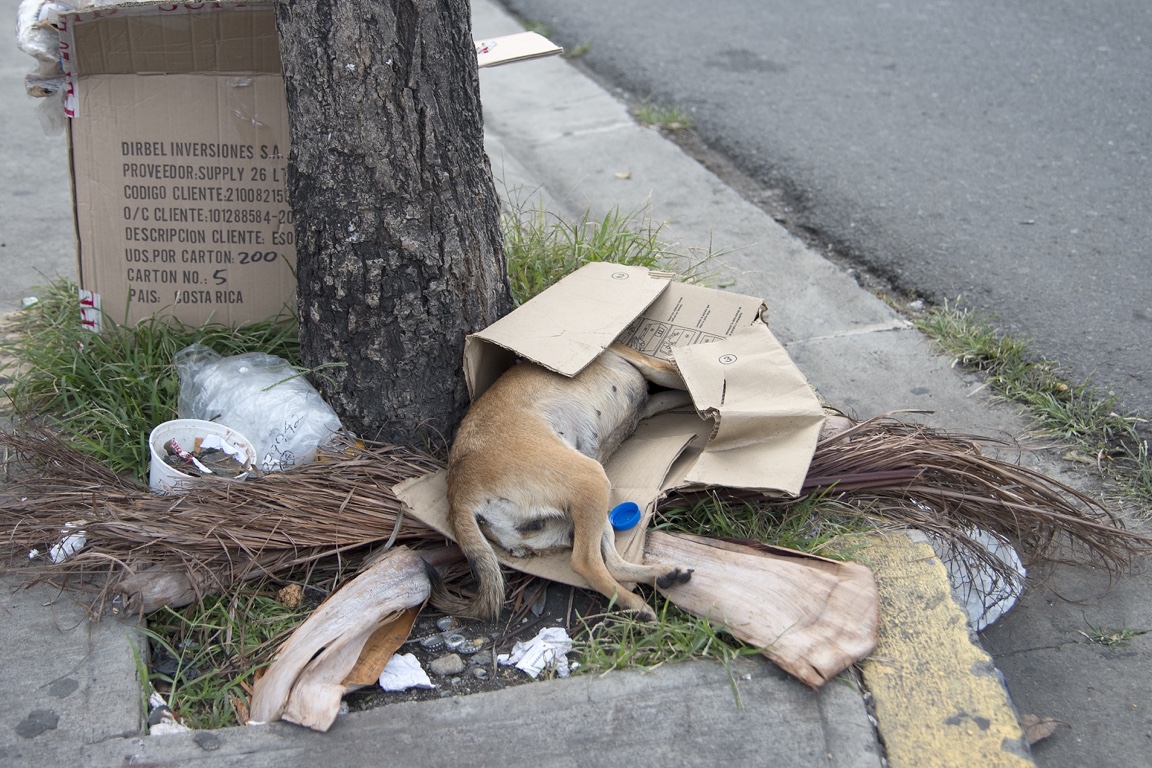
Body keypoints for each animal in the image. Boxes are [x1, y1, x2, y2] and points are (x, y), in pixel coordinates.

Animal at [433, 343, 691, 617]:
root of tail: (457, 494)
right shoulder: (652, 366)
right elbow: (683, 383)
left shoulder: (651, 403)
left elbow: (679, 396)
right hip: (591, 479)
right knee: (585, 563)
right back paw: (636, 605)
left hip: (585, 513)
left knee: (611, 564)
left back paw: (662, 575)